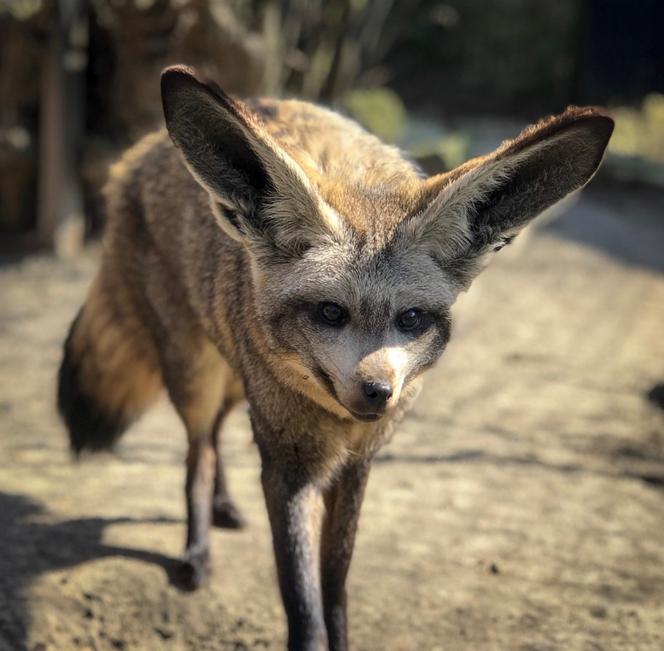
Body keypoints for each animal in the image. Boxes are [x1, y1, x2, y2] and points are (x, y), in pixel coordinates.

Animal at [59, 63, 616, 648]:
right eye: (330, 312)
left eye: (410, 319)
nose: (377, 393)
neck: (336, 427)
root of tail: (138, 152)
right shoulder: (290, 467)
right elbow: (302, 602)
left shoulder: (357, 465)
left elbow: (336, 588)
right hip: (196, 373)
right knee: (198, 451)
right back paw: (197, 547)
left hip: (235, 377)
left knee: (213, 435)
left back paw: (223, 505)